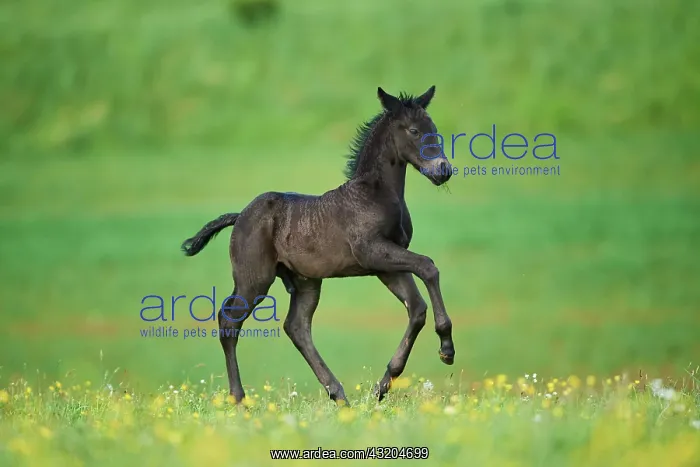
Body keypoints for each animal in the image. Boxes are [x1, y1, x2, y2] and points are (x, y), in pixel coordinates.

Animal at [181, 86, 455, 406]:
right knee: (229, 321)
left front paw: (382, 386)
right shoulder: (372, 251)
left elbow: (417, 307)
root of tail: (240, 216)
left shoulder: (385, 265)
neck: (375, 195)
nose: (443, 170)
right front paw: (447, 348)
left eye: (434, 128)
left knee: (296, 326)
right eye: (414, 130)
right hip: (254, 279)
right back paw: (239, 398)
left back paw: (338, 395)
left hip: (305, 281)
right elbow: (428, 266)